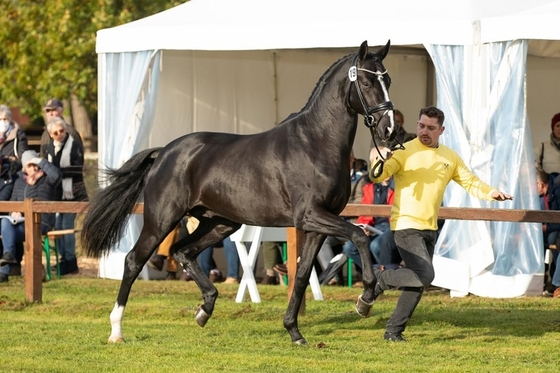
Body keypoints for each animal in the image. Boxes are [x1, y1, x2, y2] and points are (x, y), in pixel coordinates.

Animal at [83, 40, 396, 342]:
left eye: (388, 80)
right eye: (366, 82)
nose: (389, 130)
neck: (315, 143)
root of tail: (164, 153)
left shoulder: (318, 224)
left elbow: (303, 273)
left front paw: (294, 331)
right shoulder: (310, 216)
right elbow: (359, 236)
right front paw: (365, 299)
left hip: (220, 223)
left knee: (183, 251)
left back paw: (205, 309)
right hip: (161, 220)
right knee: (134, 261)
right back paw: (116, 331)